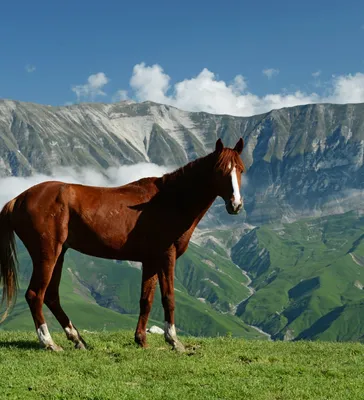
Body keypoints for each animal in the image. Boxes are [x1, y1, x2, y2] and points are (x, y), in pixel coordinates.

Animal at [0, 139, 246, 352]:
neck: (169, 200)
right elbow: (168, 298)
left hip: (58, 255)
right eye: (221, 170)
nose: (236, 205)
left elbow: (146, 300)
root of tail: (18, 199)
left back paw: (77, 339)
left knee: (51, 296)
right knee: (35, 295)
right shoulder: (166, 256)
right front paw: (174, 341)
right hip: (47, 254)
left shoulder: (150, 260)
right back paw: (49, 342)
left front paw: (141, 340)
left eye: (241, 170)